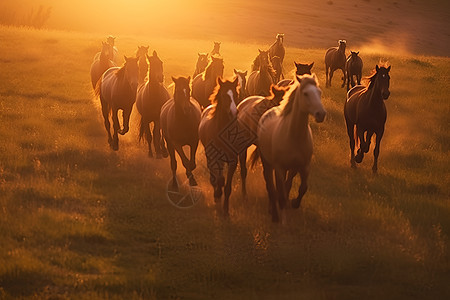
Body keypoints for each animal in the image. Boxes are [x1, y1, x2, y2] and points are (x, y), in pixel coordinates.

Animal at [200, 77, 241, 216]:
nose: (234, 112)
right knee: (213, 176)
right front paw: (217, 194)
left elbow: (227, 186)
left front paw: (226, 209)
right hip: (211, 157)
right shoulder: (215, 158)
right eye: (224, 95)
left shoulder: (232, 160)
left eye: (236, 94)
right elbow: (219, 179)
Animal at [255, 74, 326, 221]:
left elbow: (302, 188)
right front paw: (279, 217)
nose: (321, 114)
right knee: (270, 186)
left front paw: (294, 203)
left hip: (292, 168)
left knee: (286, 184)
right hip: (268, 164)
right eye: (305, 93)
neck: (294, 136)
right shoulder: (279, 168)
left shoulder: (304, 166)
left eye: (319, 92)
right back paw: (273, 211)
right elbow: (279, 192)